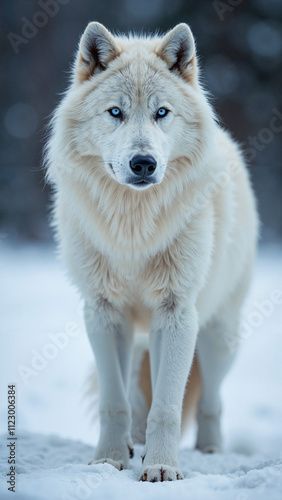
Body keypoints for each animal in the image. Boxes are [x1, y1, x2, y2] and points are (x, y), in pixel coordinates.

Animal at [45, 21, 258, 482]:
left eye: (162, 112)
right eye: (115, 112)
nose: (143, 163)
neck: (133, 230)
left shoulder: (177, 313)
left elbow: (168, 405)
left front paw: (161, 467)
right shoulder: (103, 313)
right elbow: (114, 401)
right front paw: (109, 460)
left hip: (217, 337)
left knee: (211, 401)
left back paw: (210, 451)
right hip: (141, 336)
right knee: (135, 391)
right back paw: (133, 444)